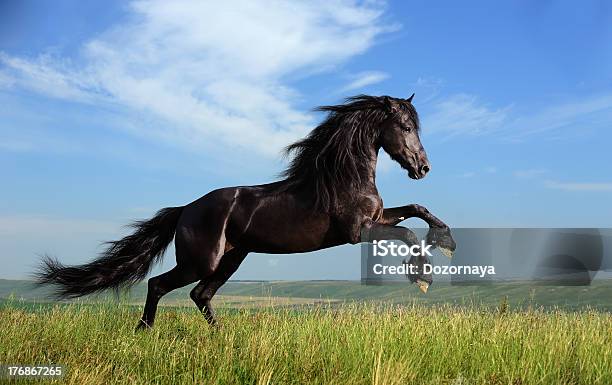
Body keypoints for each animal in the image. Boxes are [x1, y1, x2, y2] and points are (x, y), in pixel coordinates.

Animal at [34, 94, 454, 328]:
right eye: (405, 127)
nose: (423, 168)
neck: (343, 177)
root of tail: (185, 209)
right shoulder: (358, 231)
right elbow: (407, 232)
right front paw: (422, 276)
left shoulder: (377, 218)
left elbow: (416, 208)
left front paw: (446, 241)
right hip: (201, 260)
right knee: (160, 285)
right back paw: (144, 331)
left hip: (232, 259)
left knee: (200, 295)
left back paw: (220, 336)